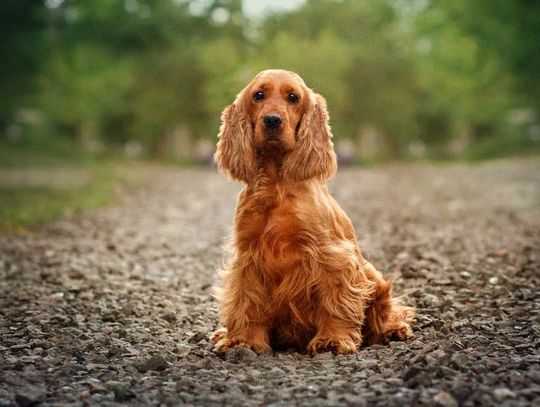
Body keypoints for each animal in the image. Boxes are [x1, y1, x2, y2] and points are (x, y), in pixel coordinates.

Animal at [210, 69, 414, 354]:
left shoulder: (330, 255)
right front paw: (244, 341)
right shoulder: (248, 257)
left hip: (373, 275)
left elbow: (335, 301)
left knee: (387, 311)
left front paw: (333, 339)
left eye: (293, 97)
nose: (272, 120)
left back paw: (393, 330)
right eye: (258, 95)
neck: (276, 184)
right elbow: (247, 301)